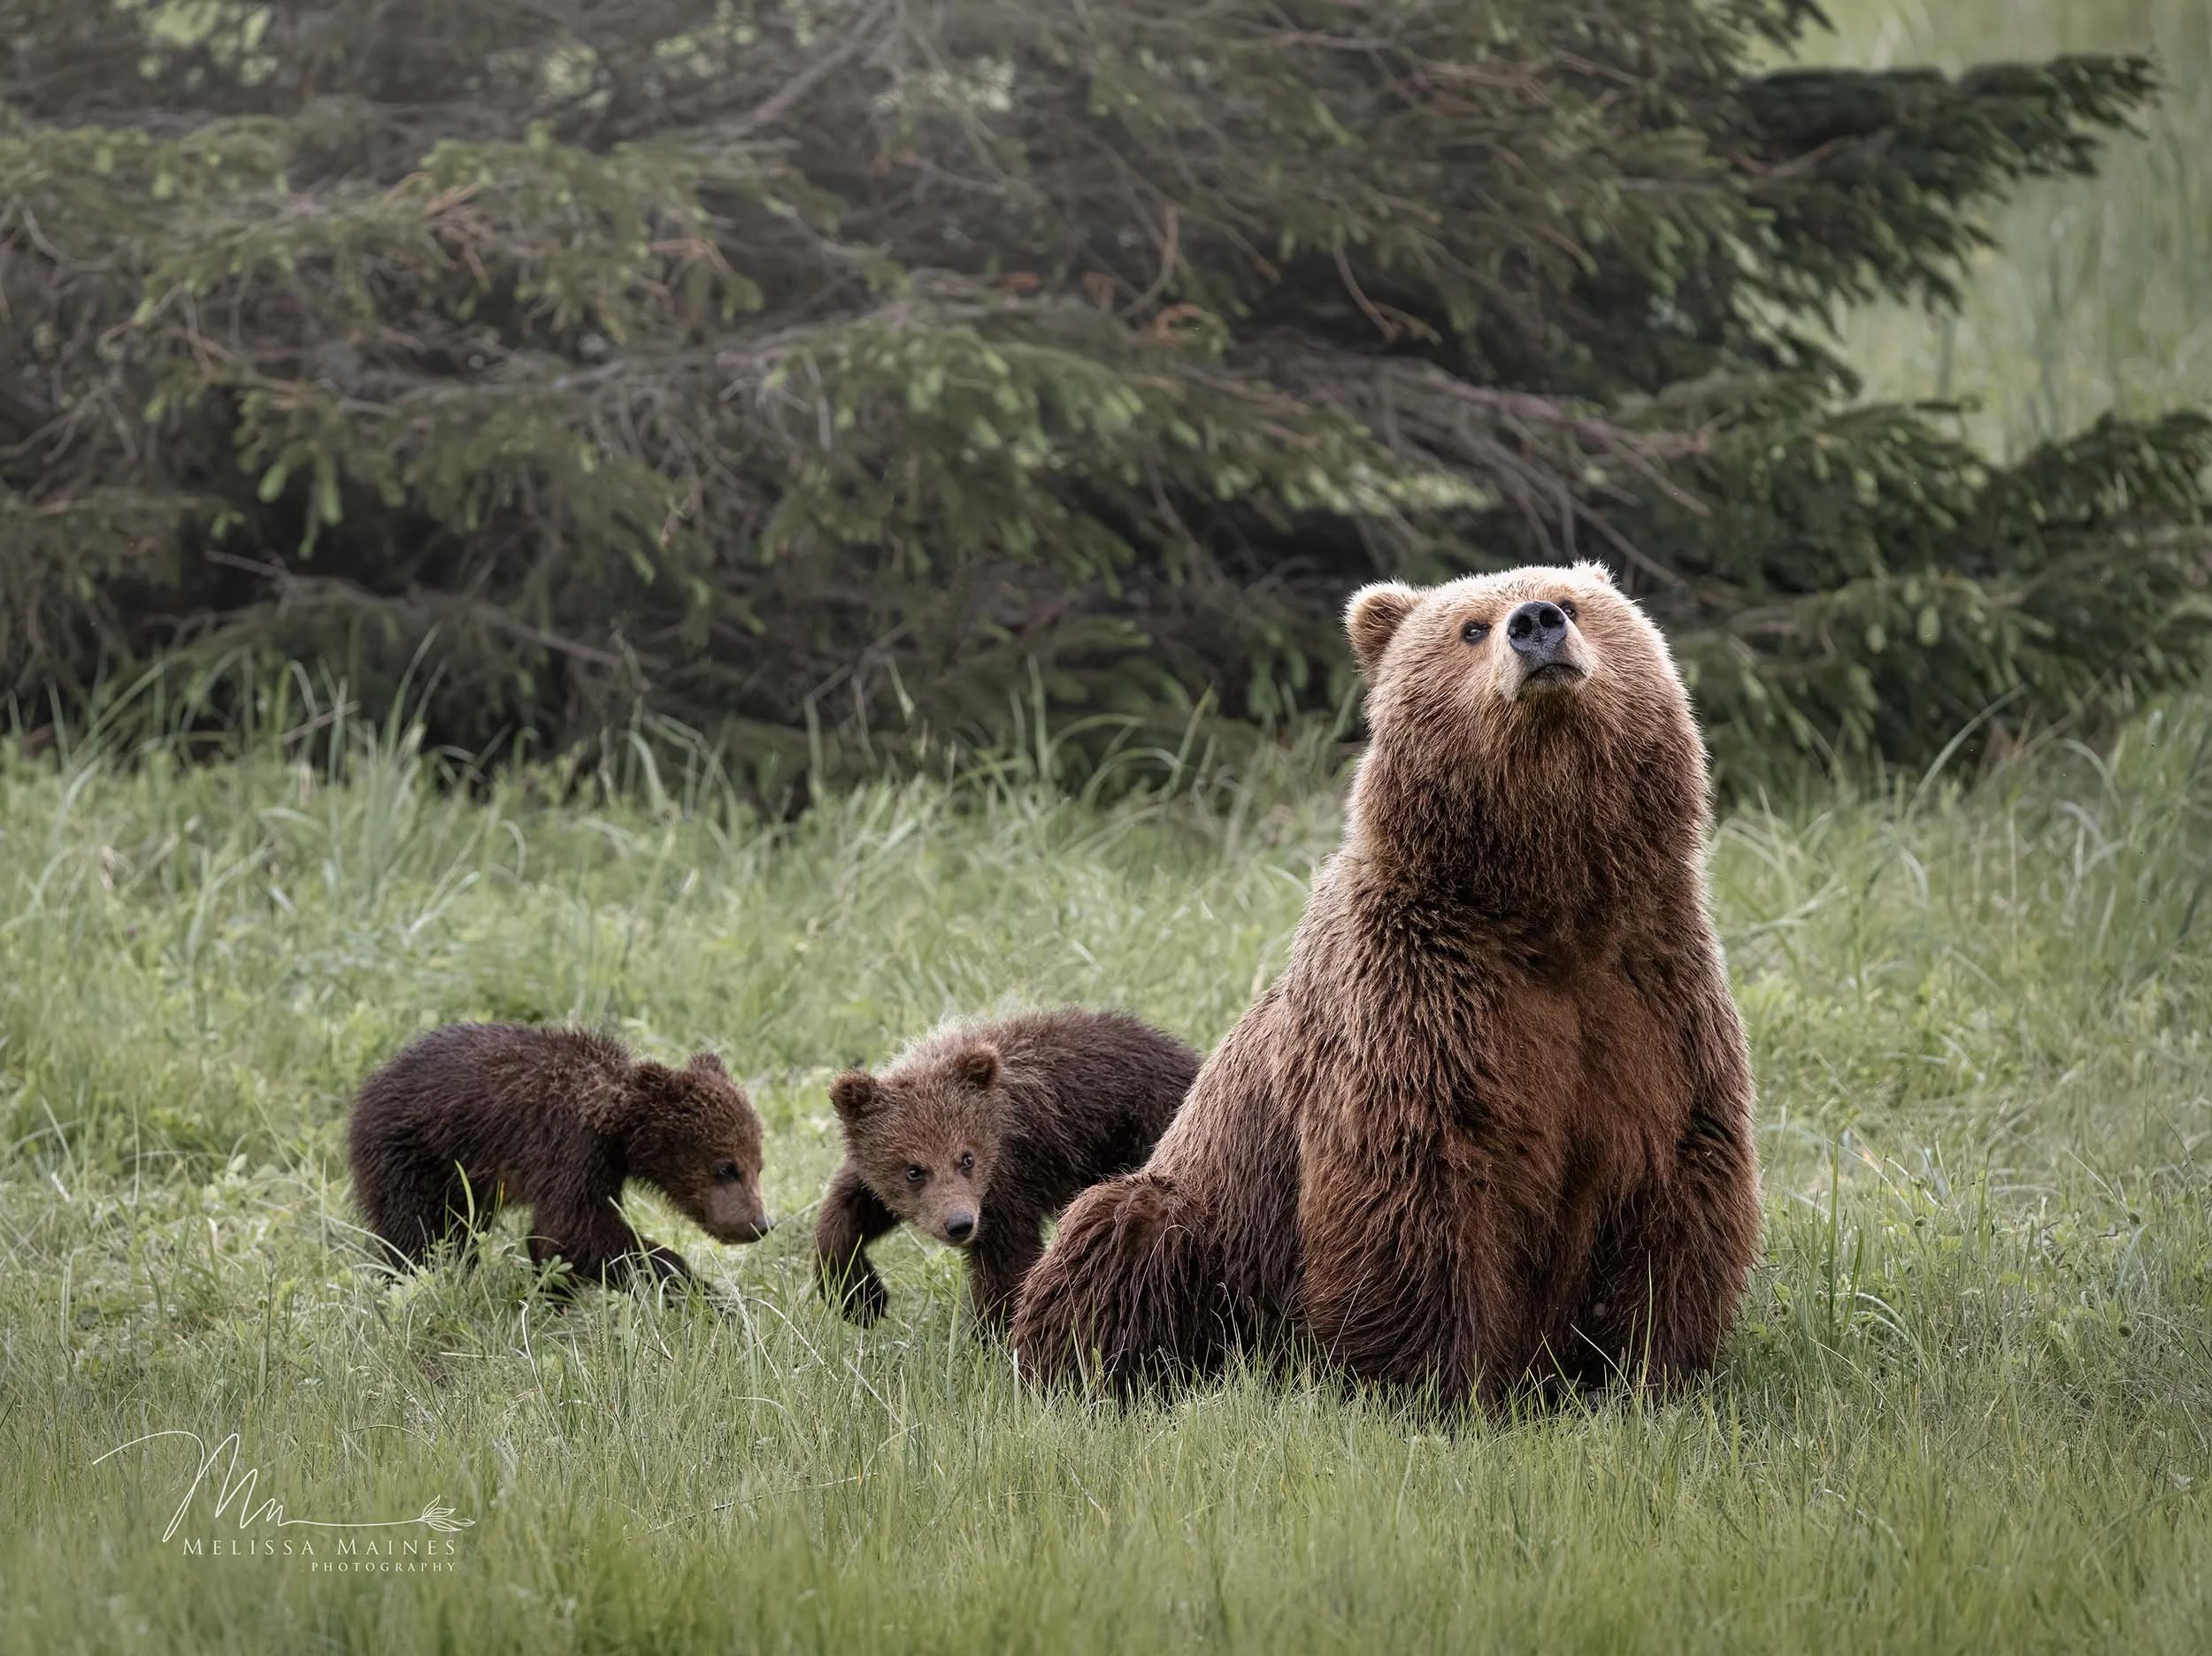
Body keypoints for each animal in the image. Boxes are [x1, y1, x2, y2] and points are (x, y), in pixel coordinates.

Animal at [347, 1023, 772, 1289]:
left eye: (759, 1165)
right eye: (726, 1168)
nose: (761, 1223)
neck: (616, 1128)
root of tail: (369, 1084)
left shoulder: (599, 1167)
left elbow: (556, 1240)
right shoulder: (569, 1150)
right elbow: (578, 1231)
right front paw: (699, 1290)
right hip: (414, 1154)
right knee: (418, 1234)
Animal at [814, 1009, 1200, 1331]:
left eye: (966, 1157)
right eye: (913, 1170)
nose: (959, 1224)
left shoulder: (1006, 1181)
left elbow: (1008, 1261)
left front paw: (993, 1335)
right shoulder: (878, 1181)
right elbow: (847, 1212)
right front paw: (861, 1298)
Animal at [1012, 563, 1762, 1405]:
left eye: (1574, 603)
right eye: (1471, 626)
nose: (1535, 623)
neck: (1547, 905)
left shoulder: (1650, 996)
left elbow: (1674, 1176)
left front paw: (1646, 1373)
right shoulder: (1417, 1005)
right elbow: (1415, 1190)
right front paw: (1427, 1385)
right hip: (1211, 1224)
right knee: (1126, 1232)